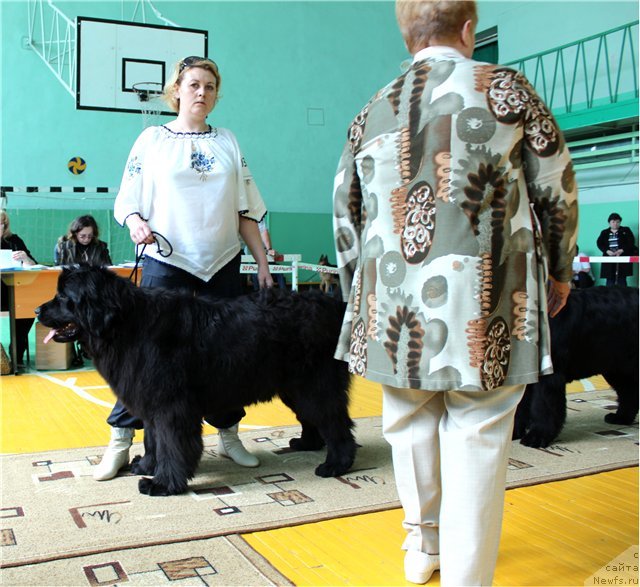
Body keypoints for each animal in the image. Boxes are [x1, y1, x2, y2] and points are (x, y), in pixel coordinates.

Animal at [36, 266, 356, 496]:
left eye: (63, 297)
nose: (38, 310)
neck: (126, 325)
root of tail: (337, 306)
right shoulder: (151, 400)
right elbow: (153, 439)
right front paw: (147, 465)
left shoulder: (171, 406)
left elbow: (171, 444)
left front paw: (163, 483)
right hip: (295, 387)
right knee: (314, 418)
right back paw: (307, 444)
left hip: (315, 384)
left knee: (335, 422)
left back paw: (336, 464)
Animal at [512, 288, 636, 448]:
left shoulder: (549, 375)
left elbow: (543, 406)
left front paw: (537, 436)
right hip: (617, 368)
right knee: (629, 392)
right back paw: (621, 417)